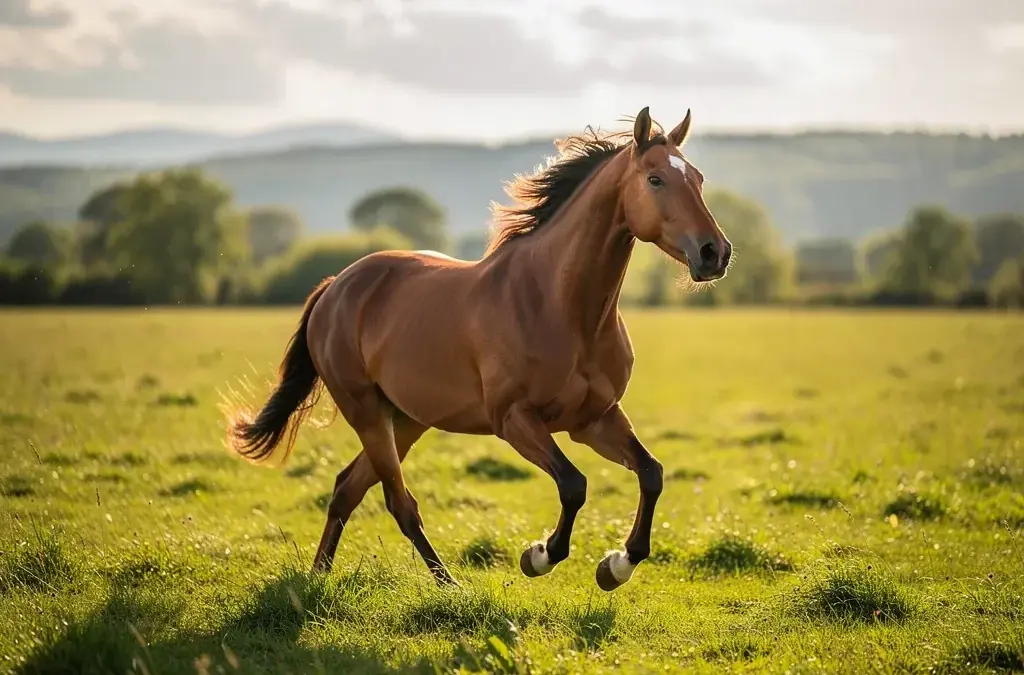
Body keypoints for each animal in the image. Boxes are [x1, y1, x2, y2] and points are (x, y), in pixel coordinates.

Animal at [226, 106, 732, 592]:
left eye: (698, 178)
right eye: (655, 178)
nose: (714, 253)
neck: (561, 307)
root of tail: (336, 286)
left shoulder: (595, 418)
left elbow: (651, 473)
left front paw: (615, 566)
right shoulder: (514, 419)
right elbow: (574, 485)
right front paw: (538, 556)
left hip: (406, 418)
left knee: (347, 488)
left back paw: (319, 576)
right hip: (366, 411)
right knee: (398, 502)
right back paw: (448, 585)